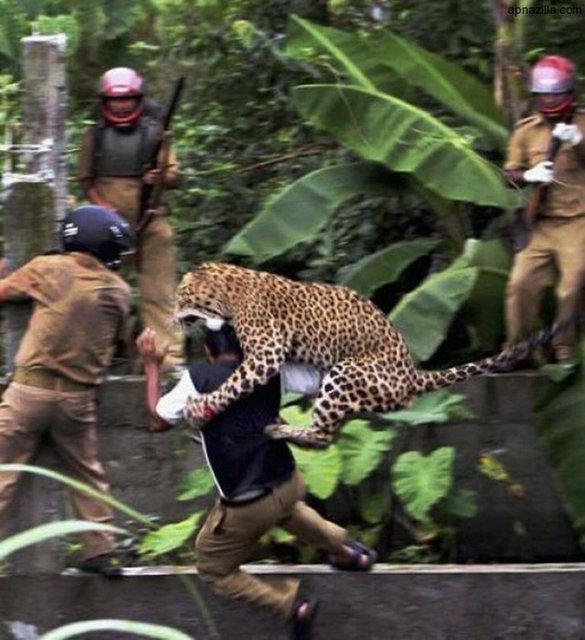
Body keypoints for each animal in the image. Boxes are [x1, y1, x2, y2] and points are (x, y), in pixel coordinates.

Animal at [176, 260, 568, 450]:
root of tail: (411, 373)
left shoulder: (266, 352)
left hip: (346, 371)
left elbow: (233, 382)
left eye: (181, 296)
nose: (172, 316)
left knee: (323, 436)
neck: (227, 292)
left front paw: (199, 407)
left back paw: (280, 429)